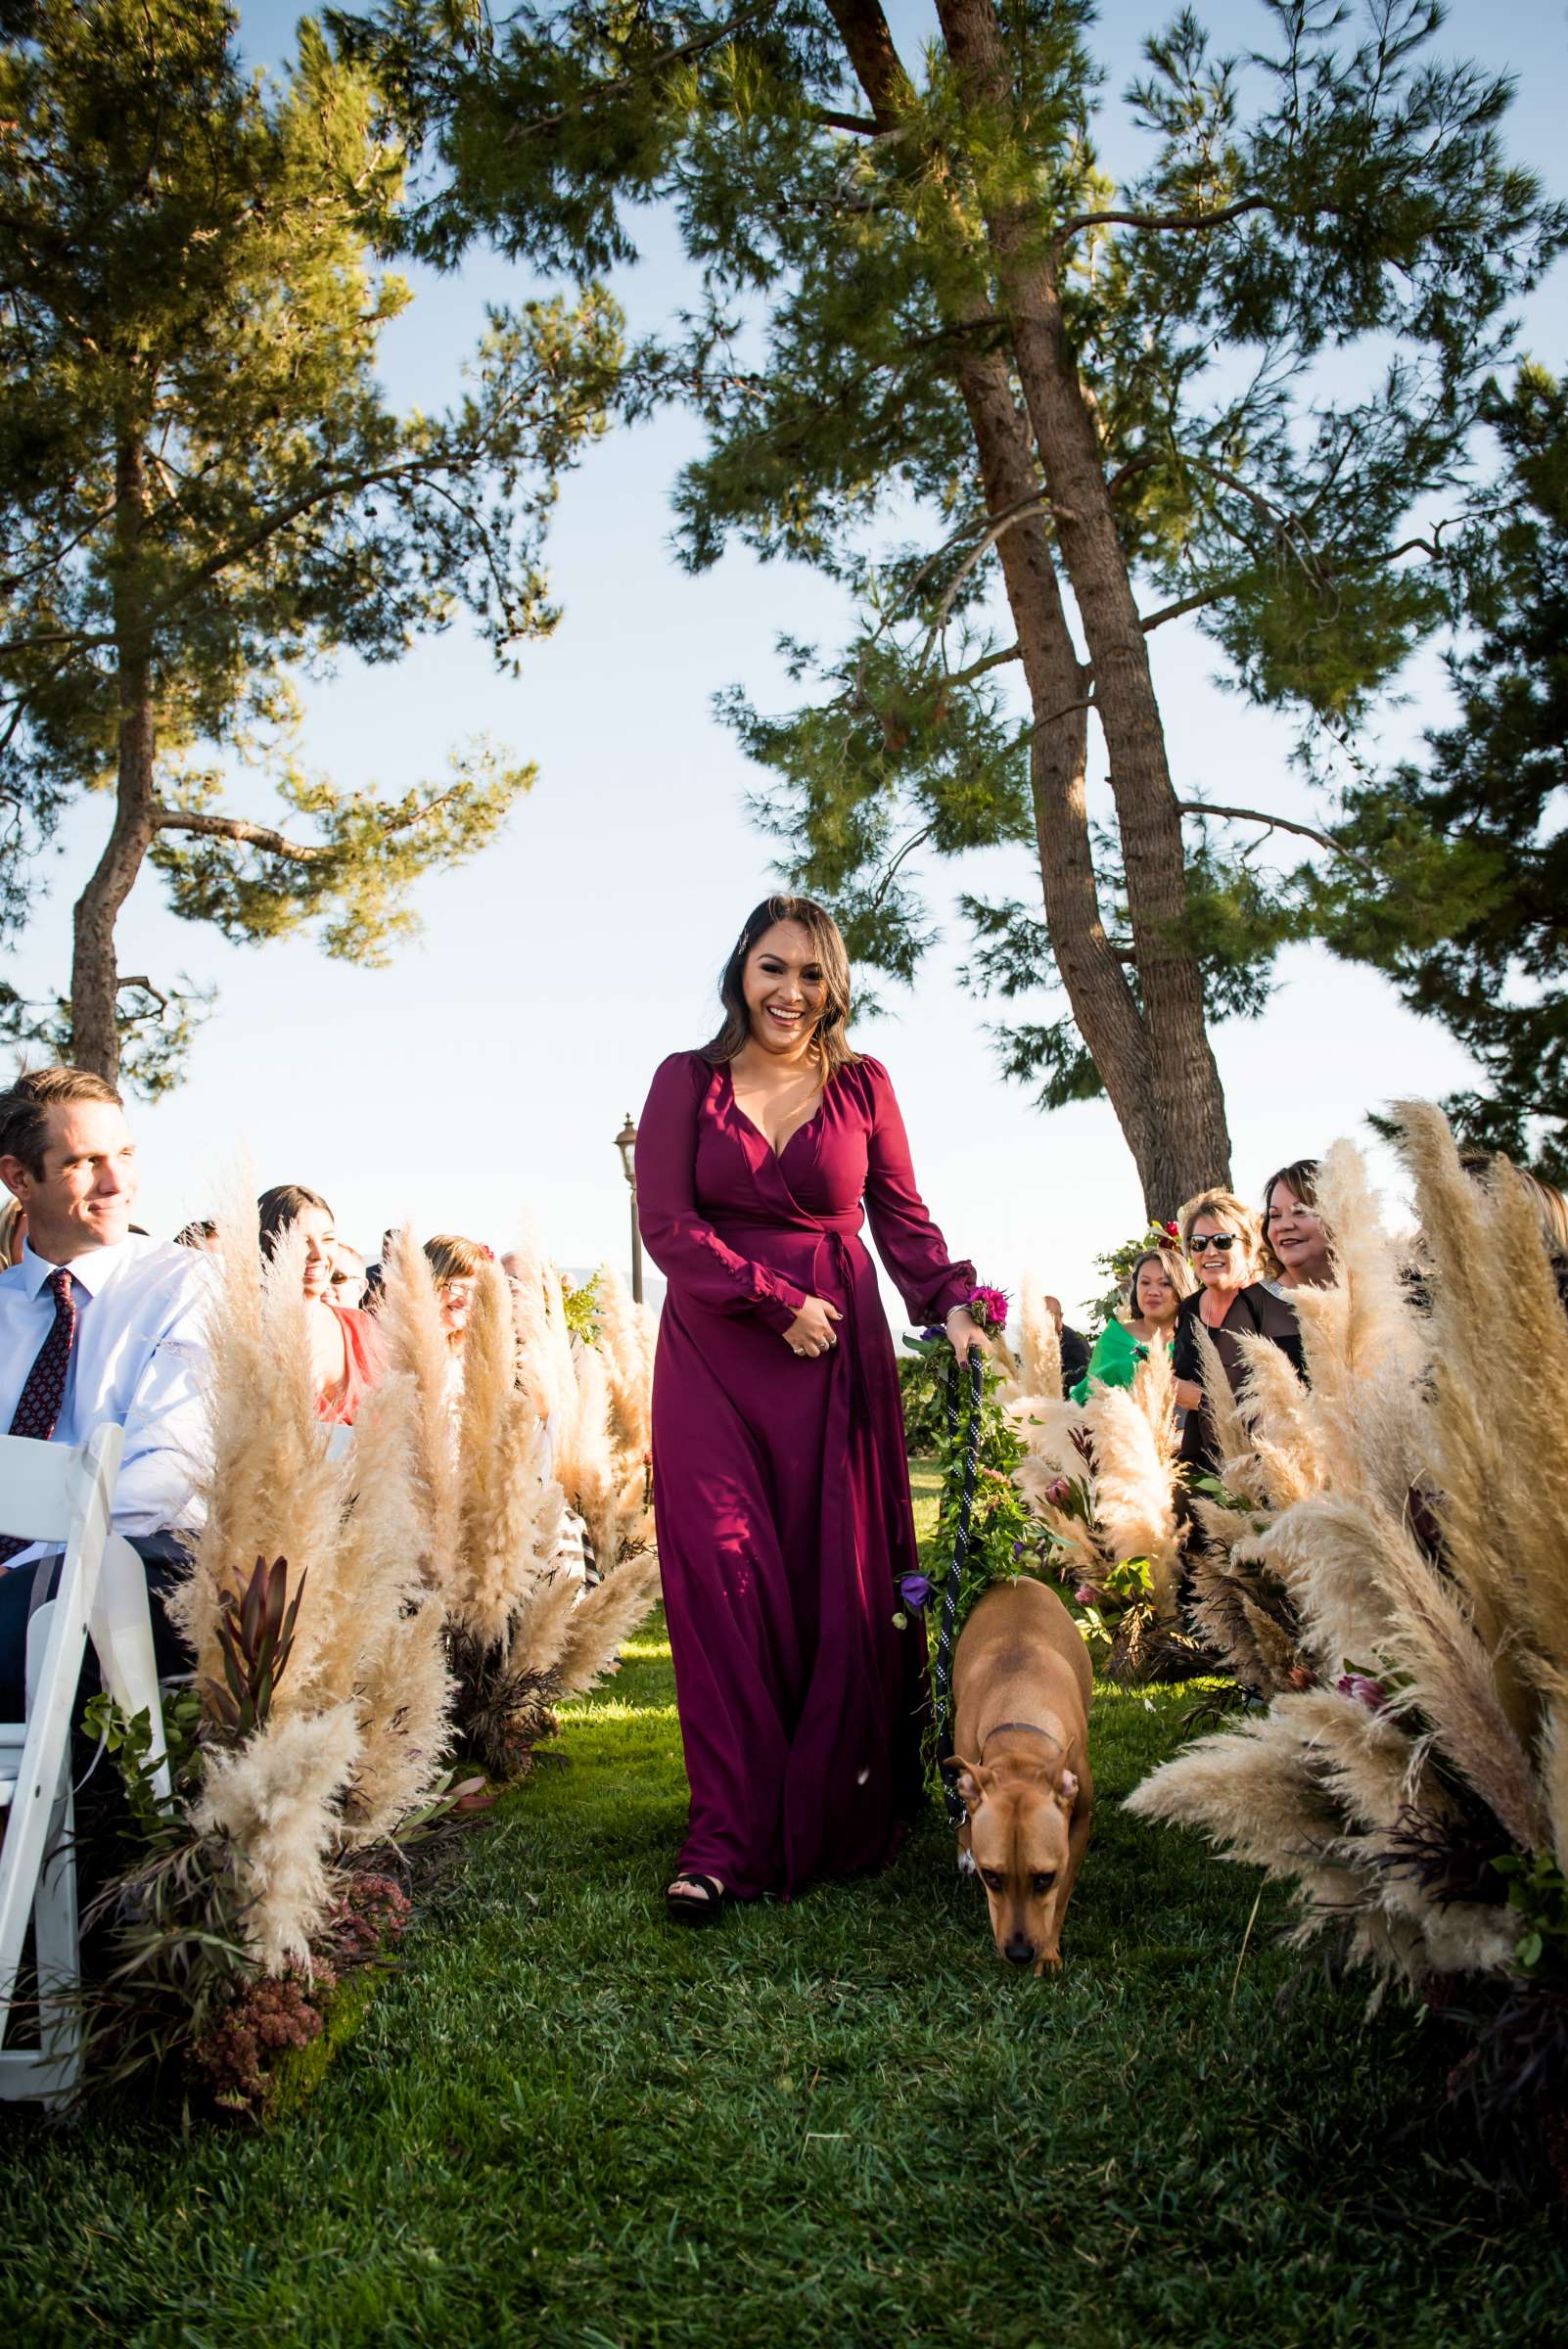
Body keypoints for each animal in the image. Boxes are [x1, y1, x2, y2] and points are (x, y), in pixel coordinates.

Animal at [944, 1569, 1088, 1973]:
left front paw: (1050, 1952)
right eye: (991, 1876)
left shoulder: (1079, 1825)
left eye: (1044, 1878)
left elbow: (1060, 1898)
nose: (1020, 1954)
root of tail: (1014, 1575)